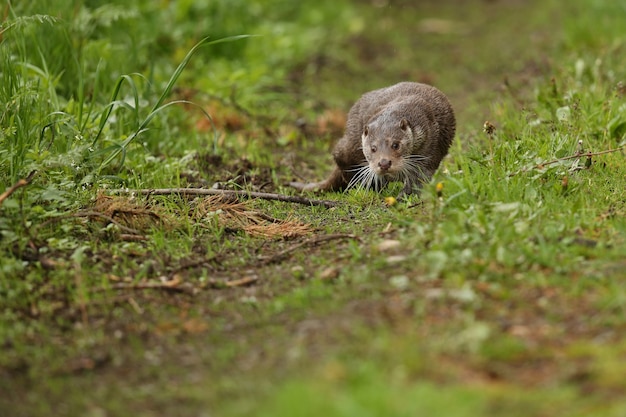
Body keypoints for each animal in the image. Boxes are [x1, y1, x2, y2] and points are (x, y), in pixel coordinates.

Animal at [288, 83, 454, 198]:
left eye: (396, 145)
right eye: (373, 148)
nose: (384, 163)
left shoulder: (430, 146)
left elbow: (420, 176)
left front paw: (405, 196)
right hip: (350, 144)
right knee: (340, 157)